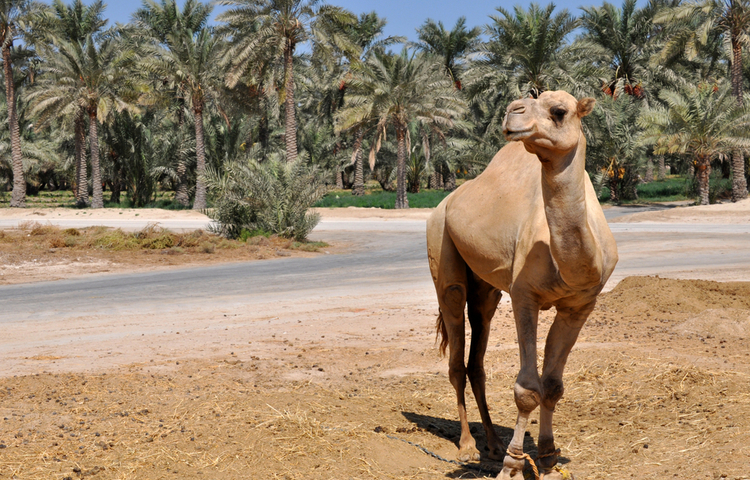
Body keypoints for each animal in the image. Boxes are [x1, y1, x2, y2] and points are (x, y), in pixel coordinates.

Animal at [426, 91, 620, 480]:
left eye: (559, 111)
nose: (512, 111)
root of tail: (444, 203)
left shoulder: (580, 305)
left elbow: (553, 386)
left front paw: (546, 458)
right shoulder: (524, 297)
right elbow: (527, 388)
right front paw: (513, 464)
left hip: (486, 288)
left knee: (477, 357)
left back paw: (492, 442)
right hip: (441, 247)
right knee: (455, 350)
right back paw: (467, 444)